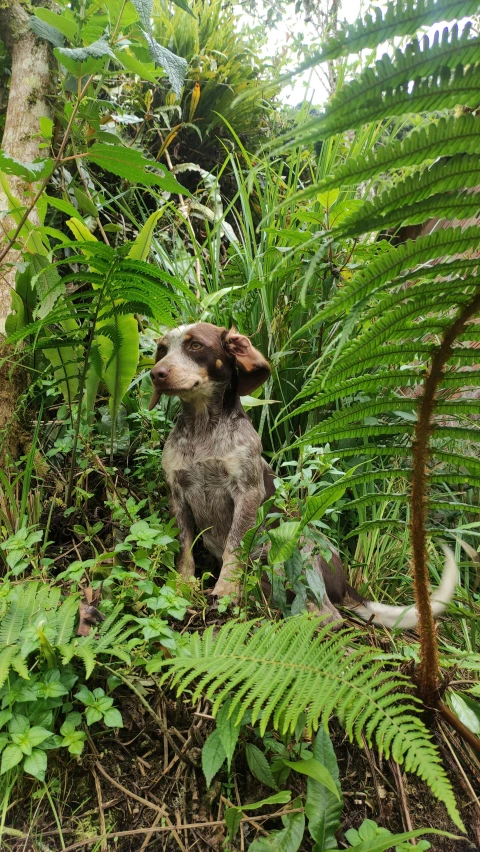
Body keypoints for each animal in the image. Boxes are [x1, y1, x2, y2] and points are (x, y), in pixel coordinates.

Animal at [150, 320, 458, 624]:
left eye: (195, 345)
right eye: (163, 349)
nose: (155, 374)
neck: (203, 429)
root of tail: (343, 583)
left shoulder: (246, 493)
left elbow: (233, 548)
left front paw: (225, 591)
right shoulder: (177, 494)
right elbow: (185, 550)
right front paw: (182, 588)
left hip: (294, 553)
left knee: (330, 616)